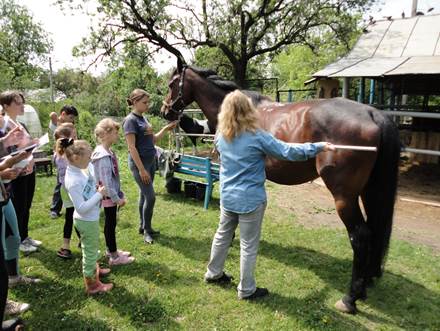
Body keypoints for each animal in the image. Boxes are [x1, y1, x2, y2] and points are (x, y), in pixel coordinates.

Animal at [162, 63, 402, 316]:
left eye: (172, 84)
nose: (164, 110)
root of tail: (372, 113)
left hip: (345, 198)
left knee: (360, 237)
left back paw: (350, 298)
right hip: (369, 192)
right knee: (374, 231)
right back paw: (366, 283)